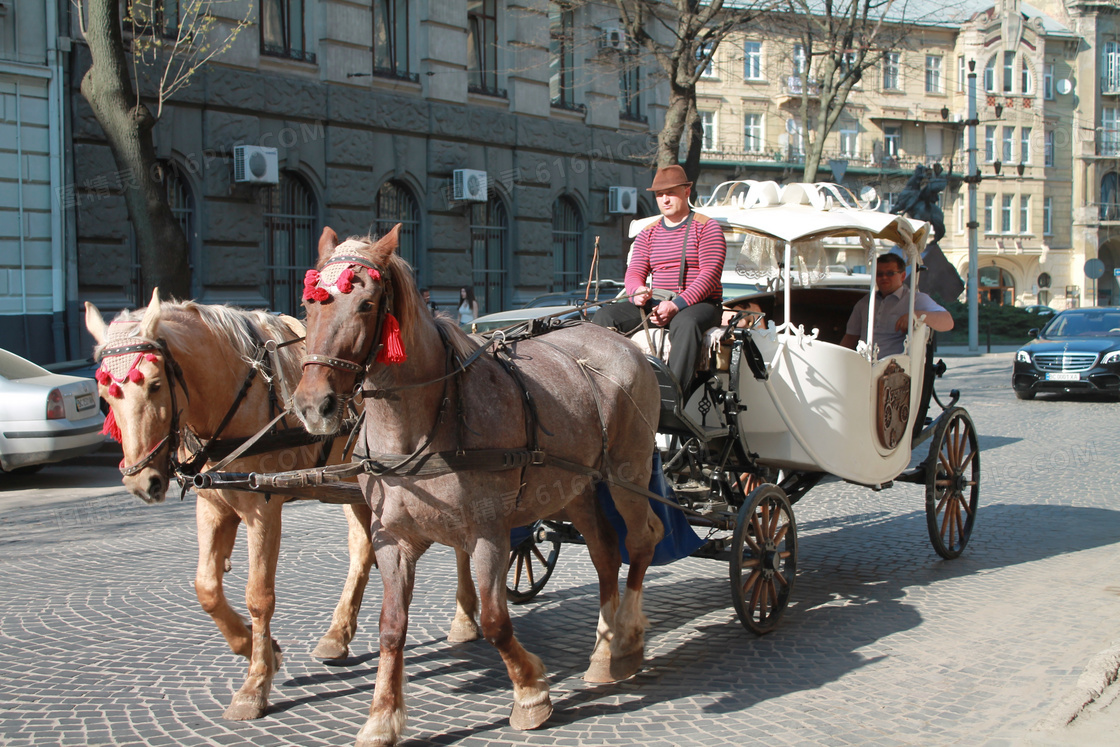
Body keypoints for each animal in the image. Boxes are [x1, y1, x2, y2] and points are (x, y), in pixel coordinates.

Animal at [81, 293, 481, 725]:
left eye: (155, 385)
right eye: (106, 395)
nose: (142, 482)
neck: (237, 392)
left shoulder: (262, 507)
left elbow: (259, 596)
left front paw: (255, 685)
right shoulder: (213, 505)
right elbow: (207, 588)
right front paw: (257, 649)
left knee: (460, 542)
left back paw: (464, 618)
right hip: (356, 483)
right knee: (362, 549)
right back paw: (336, 634)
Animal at [293, 226, 667, 747]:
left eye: (366, 305)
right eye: (309, 304)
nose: (314, 405)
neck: (423, 424)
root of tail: (617, 339)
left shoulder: (489, 532)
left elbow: (494, 620)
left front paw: (530, 693)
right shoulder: (393, 538)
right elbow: (391, 628)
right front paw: (382, 716)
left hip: (627, 474)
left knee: (642, 538)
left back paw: (628, 637)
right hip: (577, 488)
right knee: (606, 553)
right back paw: (603, 651)